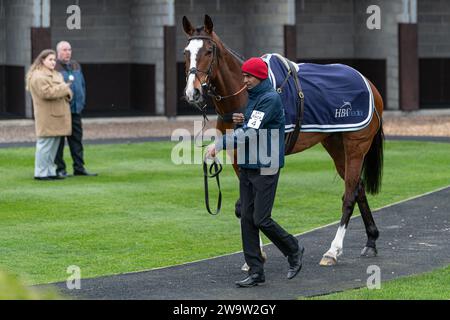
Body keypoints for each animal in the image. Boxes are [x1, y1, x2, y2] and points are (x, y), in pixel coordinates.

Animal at [183, 15, 384, 266]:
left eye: (209, 51)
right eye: (186, 52)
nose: (193, 92)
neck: (246, 95)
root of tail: (369, 84)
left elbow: (255, 207)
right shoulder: (239, 157)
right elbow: (243, 207)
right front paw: (257, 254)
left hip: (356, 146)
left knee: (349, 195)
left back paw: (333, 251)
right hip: (335, 144)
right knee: (358, 187)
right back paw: (371, 240)